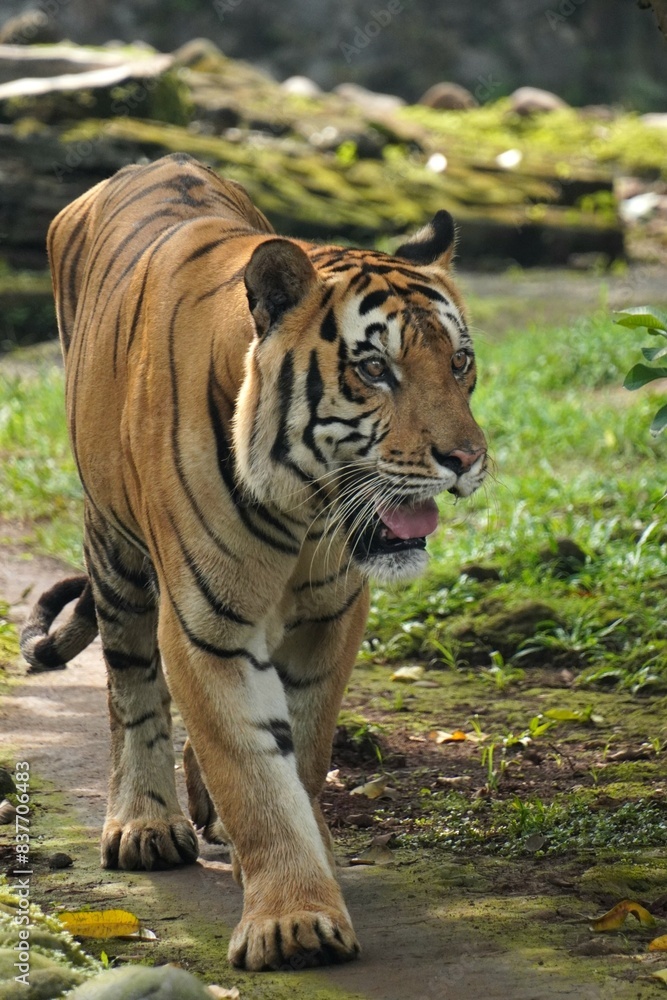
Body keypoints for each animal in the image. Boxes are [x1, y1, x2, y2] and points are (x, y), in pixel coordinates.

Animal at [20, 152, 487, 971]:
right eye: (375, 369)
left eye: (458, 362)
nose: (466, 459)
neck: (305, 510)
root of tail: (151, 160)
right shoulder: (206, 626)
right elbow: (252, 768)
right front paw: (293, 923)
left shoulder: (332, 615)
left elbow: (299, 749)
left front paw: (298, 862)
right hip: (114, 550)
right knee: (129, 685)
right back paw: (145, 823)